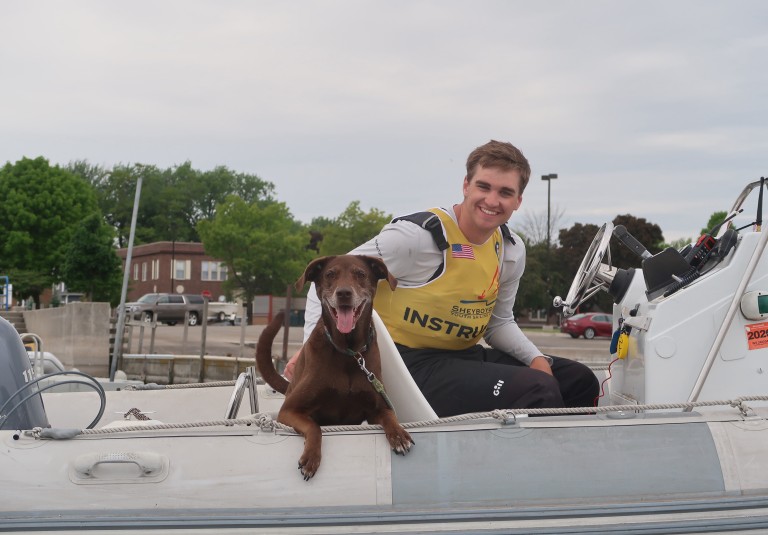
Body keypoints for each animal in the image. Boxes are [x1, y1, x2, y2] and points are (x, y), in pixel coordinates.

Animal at [255, 255, 414, 480]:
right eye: (330, 274)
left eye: (360, 273)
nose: (344, 293)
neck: (349, 352)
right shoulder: (289, 410)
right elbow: (314, 427)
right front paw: (311, 458)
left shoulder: (378, 407)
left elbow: (389, 416)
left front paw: (399, 435)